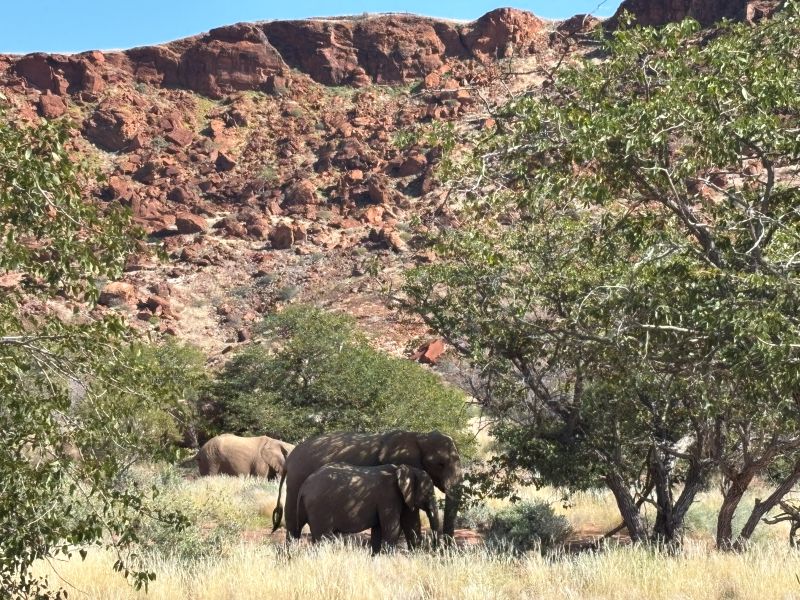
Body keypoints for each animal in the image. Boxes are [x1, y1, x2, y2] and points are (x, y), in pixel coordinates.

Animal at [297, 463, 441, 554]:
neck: (408, 469)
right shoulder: (388, 497)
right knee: (323, 538)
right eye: (429, 492)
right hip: (320, 507)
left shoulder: (403, 497)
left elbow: (409, 525)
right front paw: (388, 556)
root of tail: (303, 486)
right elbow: (392, 527)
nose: (436, 549)